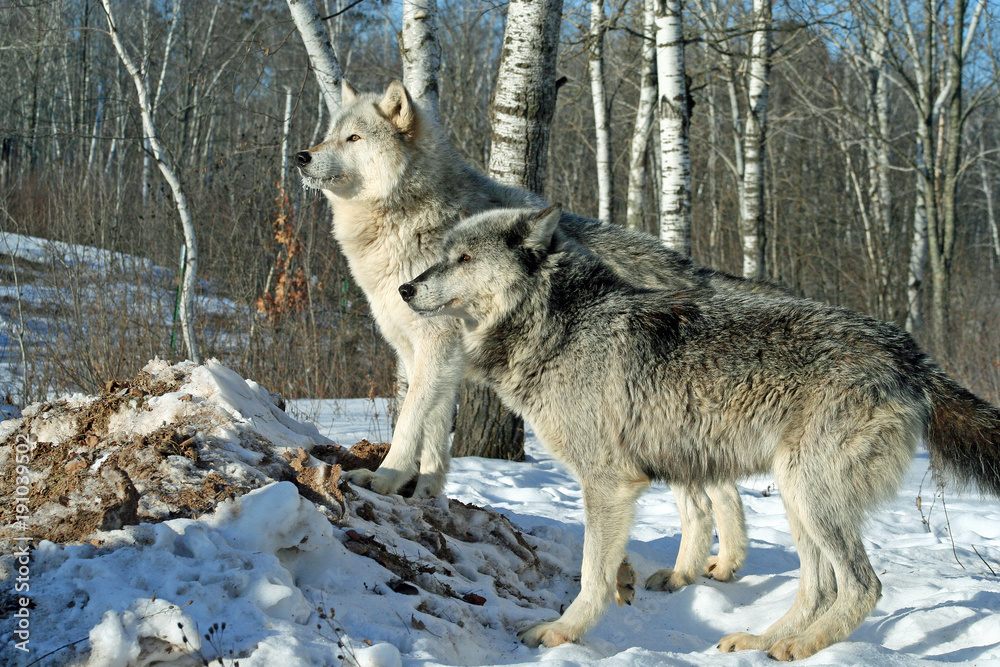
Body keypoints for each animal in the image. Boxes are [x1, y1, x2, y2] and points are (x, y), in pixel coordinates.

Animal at [295, 79, 784, 589]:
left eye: (354, 138)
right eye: (330, 134)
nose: (302, 156)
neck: (405, 223)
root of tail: (700, 274)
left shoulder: (437, 350)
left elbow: (408, 423)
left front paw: (385, 480)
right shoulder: (423, 356)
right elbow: (433, 432)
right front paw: (427, 490)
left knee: (704, 502)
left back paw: (685, 575)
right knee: (724, 494)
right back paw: (723, 567)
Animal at [399, 204, 1000, 660]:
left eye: (464, 259)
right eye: (442, 256)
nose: (405, 288)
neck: (562, 327)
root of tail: (912, 355)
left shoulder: (608, 483)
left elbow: (591, 574)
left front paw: (563, 632)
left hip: (810, 494)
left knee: (862, 586)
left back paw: (800, 648)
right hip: (797, 496)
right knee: (819, 586)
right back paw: (761, 640)